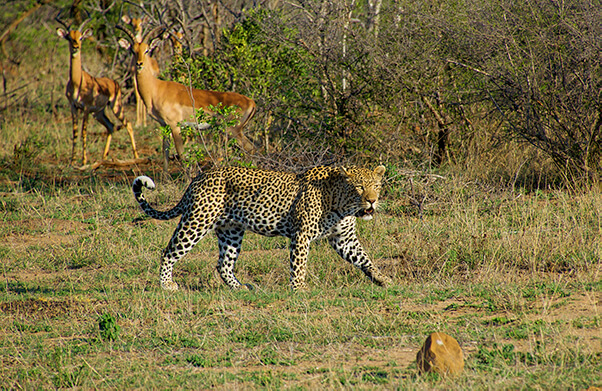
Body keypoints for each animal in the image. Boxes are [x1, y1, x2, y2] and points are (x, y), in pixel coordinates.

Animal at [55, 14, 137, 165]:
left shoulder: (86, 108)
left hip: (116, 107)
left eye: (81, 37)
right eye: (69, 37)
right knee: (111, 126)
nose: (75, 47)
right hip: (99, 113)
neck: (77, 82)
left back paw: (136, 156)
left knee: (128, 124)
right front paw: (72, 161)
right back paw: (104, 158)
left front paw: (84, 161)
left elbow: (83, 131)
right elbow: (75, 132)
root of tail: (114, 83)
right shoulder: (73, 107)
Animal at [117, 25, 255, 171]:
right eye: (133, 50)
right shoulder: (164, 125)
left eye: (147, 50)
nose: (139, 64)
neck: (156, 89)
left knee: (251, 148)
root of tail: (251, 102)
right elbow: (165, 153)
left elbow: (181, 154)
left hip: (233, 130)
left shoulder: (175, 125)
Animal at [132, 165, 392, 290]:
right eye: (359, 187)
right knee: (169, 252)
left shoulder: (344, 238)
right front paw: (299, 290)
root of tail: (198, 177)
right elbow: (299, 265)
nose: (372, 200)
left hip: (231, 230)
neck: (342, 204)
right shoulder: (301, 235)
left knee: (223, 264)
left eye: (376, 186)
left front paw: (383, 280)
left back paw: (240, 288)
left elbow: (364, 259)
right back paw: (166, 285)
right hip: (197, 221)